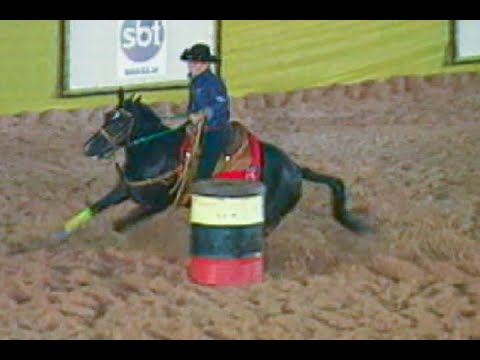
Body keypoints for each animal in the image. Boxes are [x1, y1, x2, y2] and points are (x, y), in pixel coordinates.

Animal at [51, 90, 372, 242]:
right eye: (107, 116)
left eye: (119, 122)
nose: (88, 147)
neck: (156, 150)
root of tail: (296, 169)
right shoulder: (127, 189)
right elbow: (95, 207)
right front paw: (59, 234)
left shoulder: (156, 204)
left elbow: (119, 224)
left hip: (269, 214)